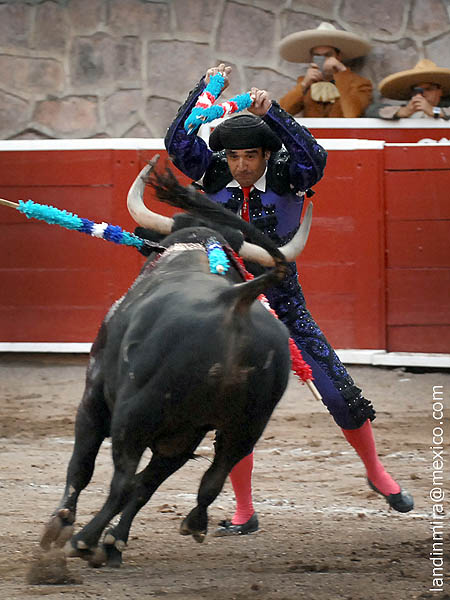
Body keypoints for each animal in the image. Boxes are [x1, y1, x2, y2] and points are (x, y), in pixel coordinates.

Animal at [40, 164, 312, 568]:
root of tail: (235, 300)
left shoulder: (94, 397)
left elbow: (82, 467)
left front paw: (60, 526)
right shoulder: (185, 434)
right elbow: (147, 485)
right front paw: (114, 544)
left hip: (135, 414)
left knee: (123, 479)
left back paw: (85, 540)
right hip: (245, 426)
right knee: (207, 477)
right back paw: (185, 524)